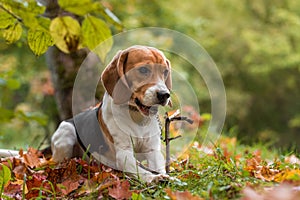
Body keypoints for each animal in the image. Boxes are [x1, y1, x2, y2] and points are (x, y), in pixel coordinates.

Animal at [51, 45, 172, 183]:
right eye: (143, 69)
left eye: (165, 72)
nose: (164, 95)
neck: (136, 115)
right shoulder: (124, 154)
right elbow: (142, 171)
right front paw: (153, 178)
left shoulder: (153, 150)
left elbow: (157, 166)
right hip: (66, 133)